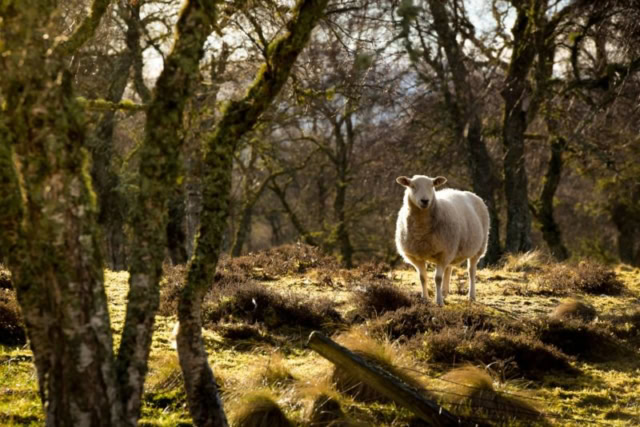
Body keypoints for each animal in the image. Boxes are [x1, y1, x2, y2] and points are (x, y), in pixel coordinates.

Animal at [396, 176, 490, 306]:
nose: (425, 200)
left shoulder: (443, 254)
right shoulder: (416, 256)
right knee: (449, 268)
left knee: (471, 271)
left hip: (478, 247)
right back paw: (445, 292)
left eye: (432, 185)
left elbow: (437, 279)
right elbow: (422, 277)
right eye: (412, 186)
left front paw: (439, 301)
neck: (421, 231)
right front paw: (425, 298)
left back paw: (471, 295)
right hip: (453, 248)